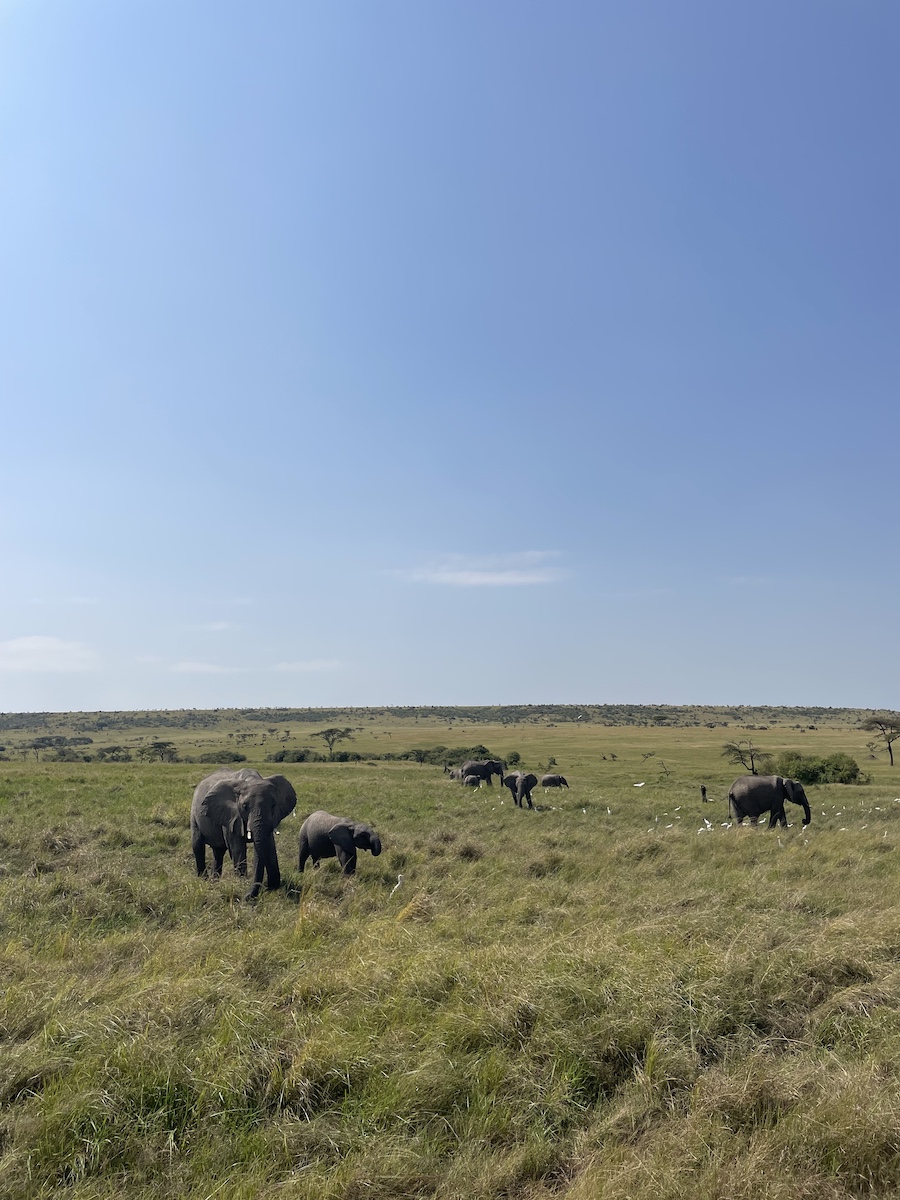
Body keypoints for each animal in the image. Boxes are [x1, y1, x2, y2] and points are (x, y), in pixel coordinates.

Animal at [190, 768, 297, 899]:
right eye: (245, 806)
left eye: (273, 805)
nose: (246, 897)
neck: (251, 779)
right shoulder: (231, 816)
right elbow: (237, 848)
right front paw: (241, 883)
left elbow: (270, 845)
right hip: (194, 814)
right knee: (197, 845)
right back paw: (203, 880)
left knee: (218, 851)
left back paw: (214, 881)